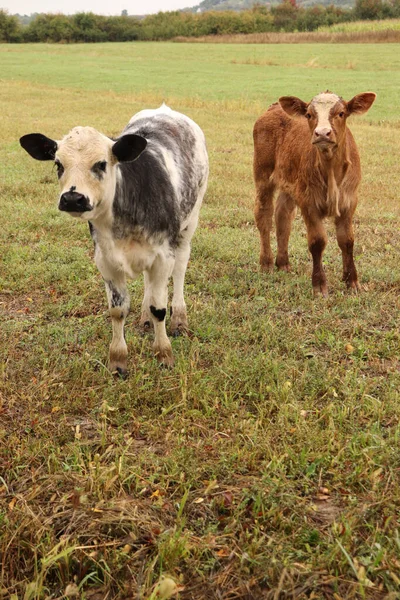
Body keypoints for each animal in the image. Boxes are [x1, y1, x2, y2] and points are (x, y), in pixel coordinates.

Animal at [21, 104, 209, 376]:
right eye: (58, 164)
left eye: (101, 164)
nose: (72, 198)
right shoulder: (106, 260)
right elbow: (118, 310)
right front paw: (118, 360)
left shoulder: (163, 256)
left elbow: (159, 308)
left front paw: (164, 353)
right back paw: (144, 318)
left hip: (188, 224)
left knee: (180, 270)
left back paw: (179, 319)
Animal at [253, 91, 376, 296]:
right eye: (309, 114)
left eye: (341, 113)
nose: (322, 133)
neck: (331, 171)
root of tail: (274, 108)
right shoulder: (308, 201)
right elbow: (317, 242)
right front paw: (319, 285)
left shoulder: (349, 201)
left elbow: (347, 240)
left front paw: (351, 281)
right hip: (262, 175)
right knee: (264, 215)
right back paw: (267, 263)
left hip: (289, 183)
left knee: (283, 216)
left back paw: (283, 263)